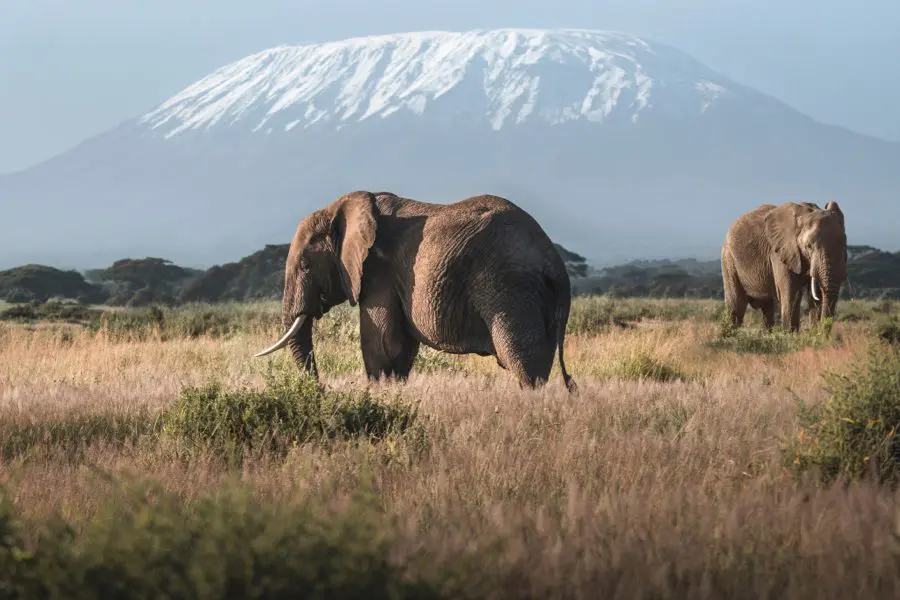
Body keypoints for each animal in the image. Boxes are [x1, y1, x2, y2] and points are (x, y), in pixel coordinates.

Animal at [253, 189, 576, 394]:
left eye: (306, 266)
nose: (322, 390)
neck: (340, 207)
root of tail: (553, 261)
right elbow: (401, 347)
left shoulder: (378, 272)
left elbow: (382, 343)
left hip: (508, 289)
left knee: (522, 360)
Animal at [720, 202, 848, 332]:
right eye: (809, 246)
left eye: (844, 244)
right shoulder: (779, 253)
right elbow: (790, 294)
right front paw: (789, 335)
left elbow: (814, 297)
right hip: (728, 259)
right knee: (736, 306)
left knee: (767, 309)